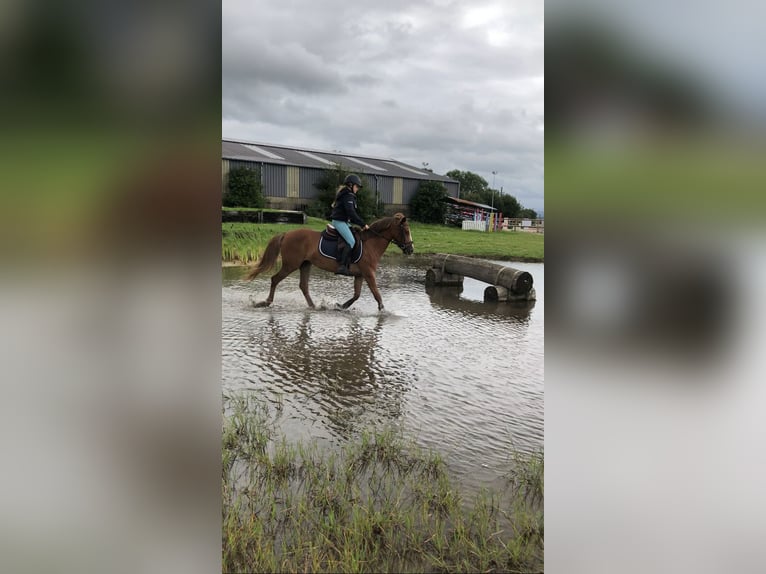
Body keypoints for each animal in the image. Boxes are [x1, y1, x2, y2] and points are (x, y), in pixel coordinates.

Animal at [246, 213, 414, 310]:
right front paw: (384, 312)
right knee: (275, 279)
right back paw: (266, 303)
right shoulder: (369, 274)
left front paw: (341, 306)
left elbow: (357, 295)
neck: (370, 244)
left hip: (305, 264)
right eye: (406, 231)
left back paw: (314, 307)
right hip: (290, 265)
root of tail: (287, 234)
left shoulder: (360, 275)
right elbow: (377, 295)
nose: (411, 250)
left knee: (303, 286)